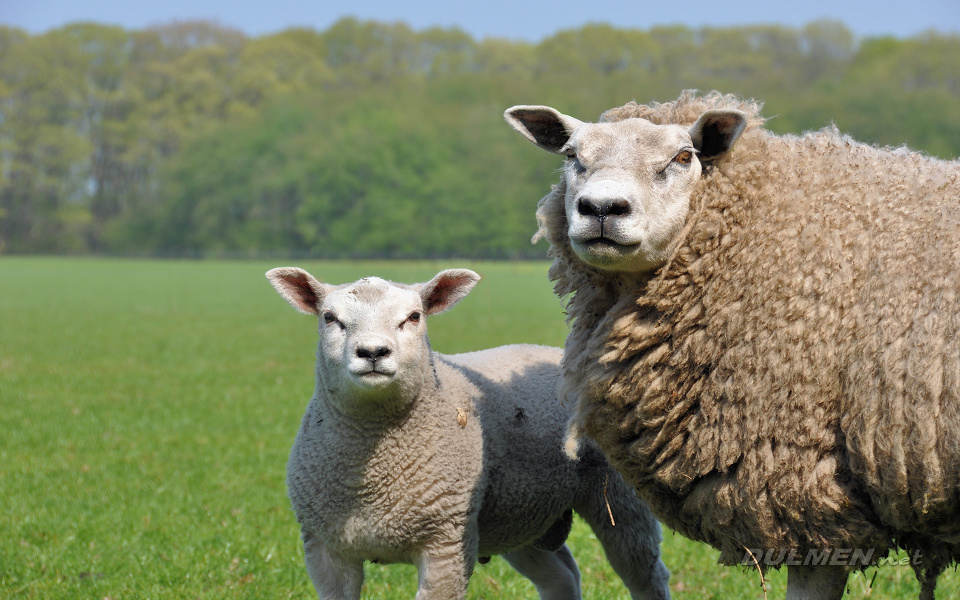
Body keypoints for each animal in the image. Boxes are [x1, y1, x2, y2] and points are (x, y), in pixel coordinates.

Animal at [262, 268, 668, 600]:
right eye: (330, 318)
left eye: (414, 317)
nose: (373, 352)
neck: (372, 474)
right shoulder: (325, 549)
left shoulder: (446, 544)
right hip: (521, 513)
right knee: (561, 577)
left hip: (619, 500)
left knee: (647, 577)